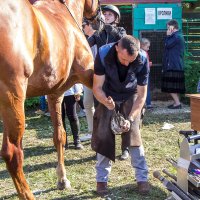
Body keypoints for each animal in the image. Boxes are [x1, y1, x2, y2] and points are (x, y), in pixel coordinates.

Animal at [0, 0, 100, 198]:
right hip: (12, 99)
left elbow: (59, 135)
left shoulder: (55, 94)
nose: (99, 17)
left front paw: (62, 179)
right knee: (13, 153)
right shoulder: (90, 75)